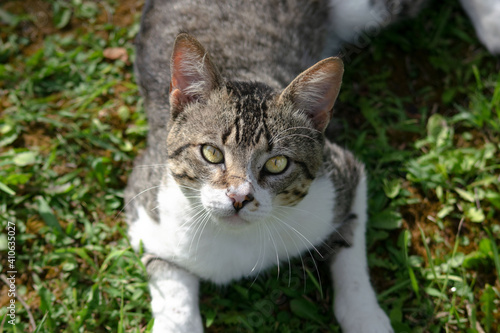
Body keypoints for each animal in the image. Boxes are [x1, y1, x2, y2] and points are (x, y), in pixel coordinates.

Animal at [124, 0, 406, 330]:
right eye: (211, 153)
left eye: (277, 163)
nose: (238, 197)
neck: (235, 241)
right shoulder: (146, 207)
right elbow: (169, 283)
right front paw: (177, 322)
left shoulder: (342, 175)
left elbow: (351, 245)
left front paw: (365, 317)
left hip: (365, 13)